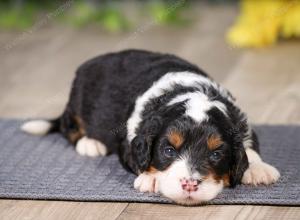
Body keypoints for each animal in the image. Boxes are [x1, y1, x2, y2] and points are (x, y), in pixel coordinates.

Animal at [21, 49, 282, 205]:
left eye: (216, 154)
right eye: (168, 151)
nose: (189, 184)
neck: (193, 93)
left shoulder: (239, 119)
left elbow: (249, 143)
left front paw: (258, 169)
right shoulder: (130, 140)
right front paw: (151, 178)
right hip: (77, 100)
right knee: (69, 127)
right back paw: (90, 143)